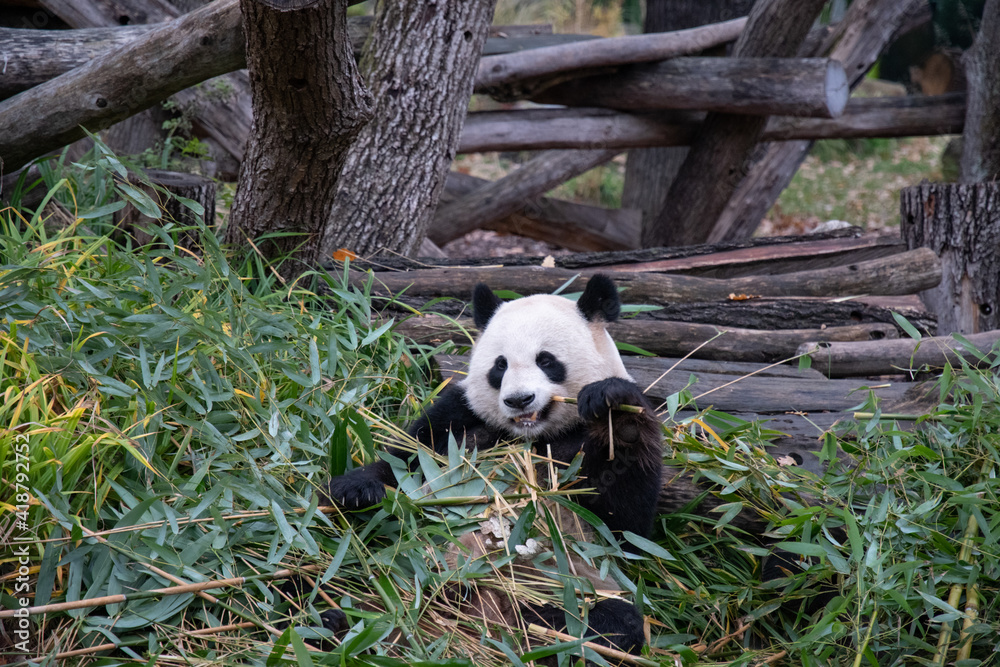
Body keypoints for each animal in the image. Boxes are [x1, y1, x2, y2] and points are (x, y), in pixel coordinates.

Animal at [318, 274, 664, 657]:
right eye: (500, 365)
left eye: (546, 360)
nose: (519, 400)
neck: (529, 437)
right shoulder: (457, 418)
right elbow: (405, 460)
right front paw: (355, 489)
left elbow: (625, 530)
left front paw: (615, 407)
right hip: (398, 568)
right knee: (348, 581)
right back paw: (340, 623)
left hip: (568, 589)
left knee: (610, 621)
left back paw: (537, 630)